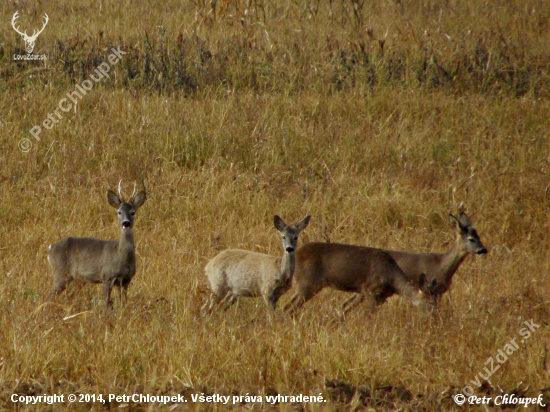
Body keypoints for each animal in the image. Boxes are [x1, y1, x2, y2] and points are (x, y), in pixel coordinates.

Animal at [284, 241, 436, 316]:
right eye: (430, 303)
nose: (436, 318)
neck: (392, 278)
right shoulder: (370, 290)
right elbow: (367, 315)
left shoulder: (367, 293)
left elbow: (345, 307)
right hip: (308, 282)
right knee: (288, 306)